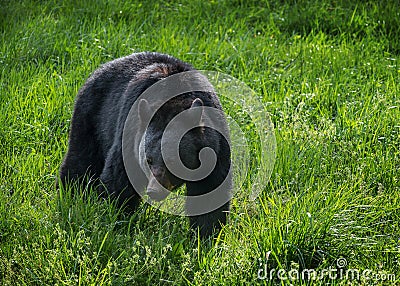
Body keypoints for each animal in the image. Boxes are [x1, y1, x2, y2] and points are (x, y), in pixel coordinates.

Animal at [61, 51, 233, 237]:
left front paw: (205, 235)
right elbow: (119, 180)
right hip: (91, 116)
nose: (153, 190)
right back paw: (69, 193)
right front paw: (115, 221)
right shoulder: (129, 137)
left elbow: (210, 191)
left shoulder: (215, 149)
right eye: (148, 160)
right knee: (81, 159)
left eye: (172, 161)